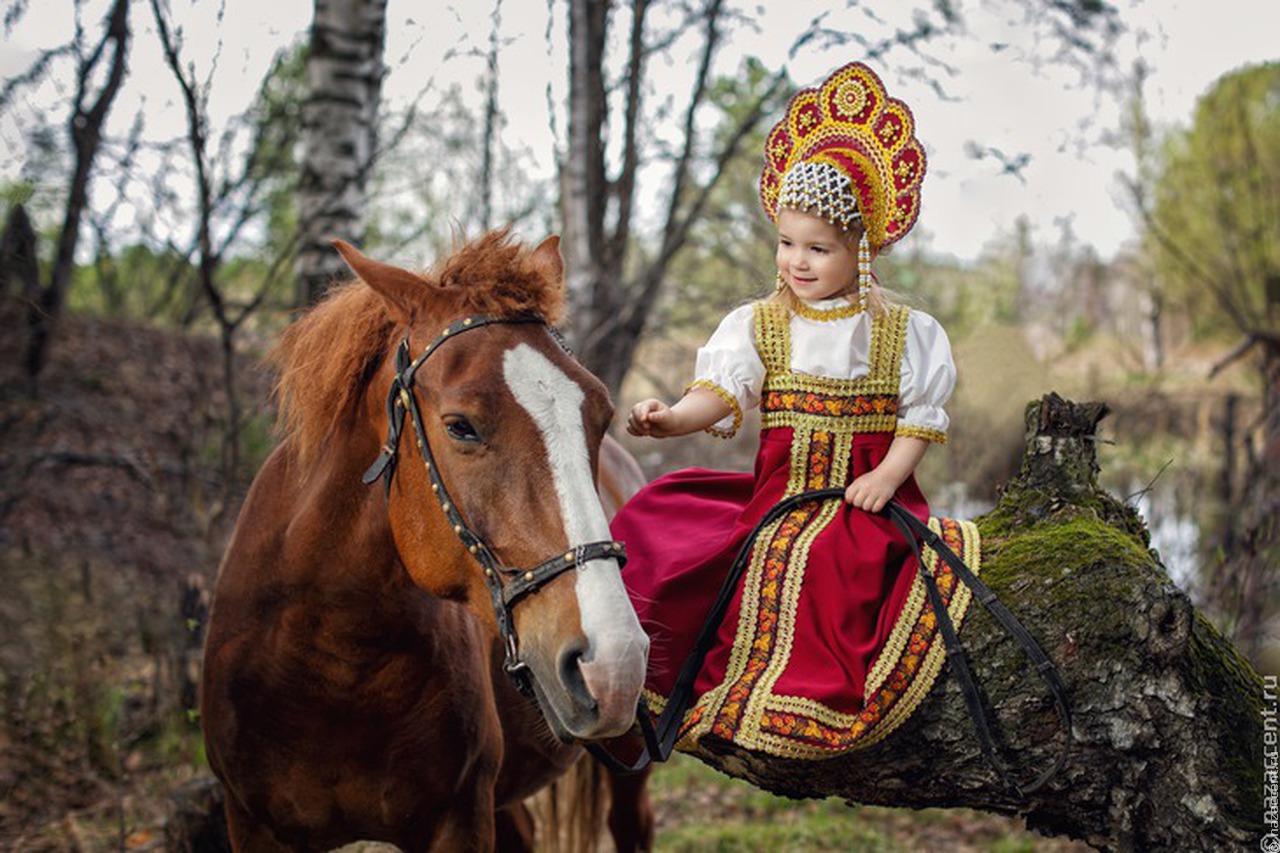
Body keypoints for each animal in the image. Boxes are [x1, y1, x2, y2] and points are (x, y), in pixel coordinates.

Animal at [204, 233, 655, 850]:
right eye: (460, 425)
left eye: (601, 416)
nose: (612, 662)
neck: (331, 658)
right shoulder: (252, 824)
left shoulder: (458, 820)